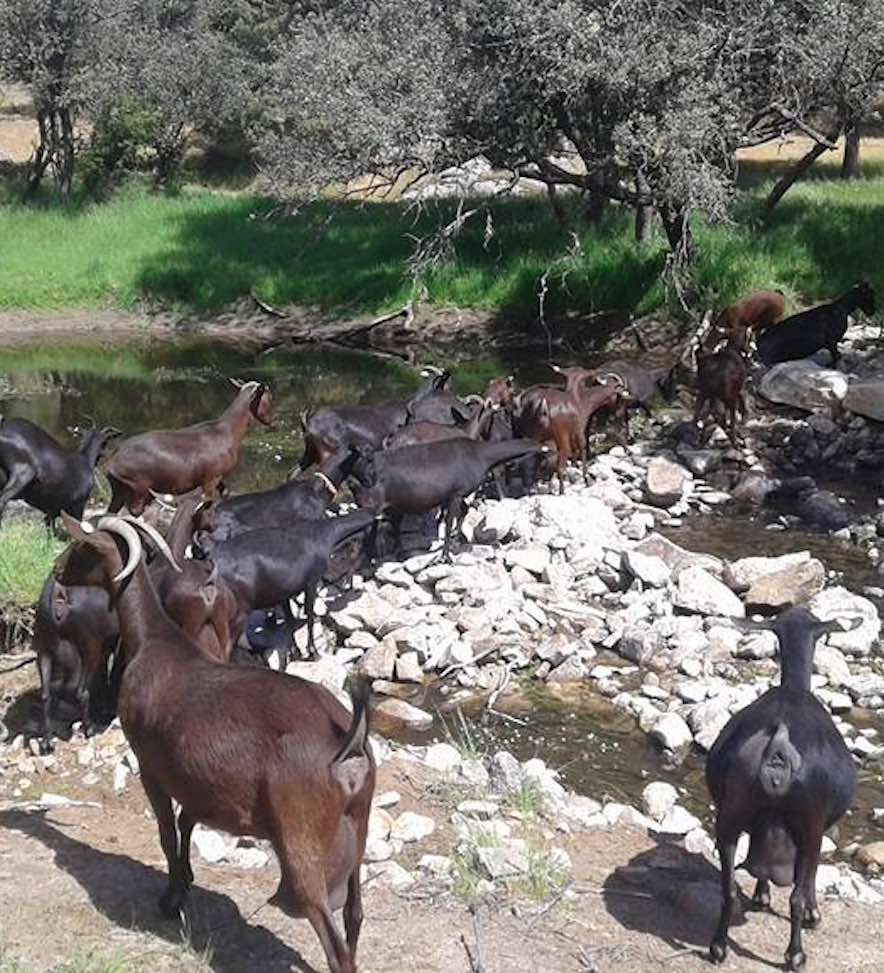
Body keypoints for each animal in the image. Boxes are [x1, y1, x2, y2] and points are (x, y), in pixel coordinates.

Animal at [54, 516, 372, 972]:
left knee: (333, 943)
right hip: (358, 830)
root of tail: (348, 740)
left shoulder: (150, 764)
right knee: (354, 916)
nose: (58, 572)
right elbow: (187, 821)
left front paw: (170, 899)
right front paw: (185, 882)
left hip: (303, 842)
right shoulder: (196, 780)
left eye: (83, 549)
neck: (154, 642)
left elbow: (167, 832)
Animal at [104, 380, 272, 516]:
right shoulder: (211, 478)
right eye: (269, 398)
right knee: (135, 511)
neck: (228, 431)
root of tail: (113, 462)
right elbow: (208, 501)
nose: (270, 421)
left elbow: (225, 493)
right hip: (138, 487)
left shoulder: (218, 477)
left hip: (120, 489)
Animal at [350, 436, 540, 560]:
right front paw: (446, 555)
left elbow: (464, 512)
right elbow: (449, 523)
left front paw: (459, 539)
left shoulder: (455, 495)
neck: (481, 455)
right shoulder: (455, 493)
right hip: (371, 505)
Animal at [708, 604, 860, 968]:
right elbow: (809, 879)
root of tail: (779, 743)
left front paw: (761, 896)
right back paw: (796, 956)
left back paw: (718, 947)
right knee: (796, 896)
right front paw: (814, 915)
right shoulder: (817, 828)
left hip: (732, 813)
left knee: (729, 887)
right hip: (810, 822)